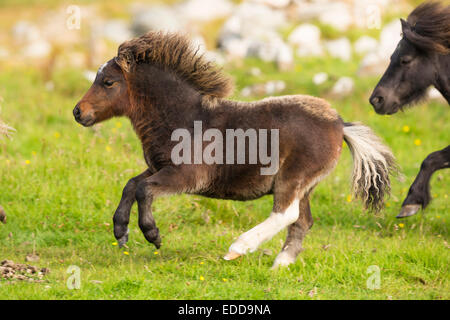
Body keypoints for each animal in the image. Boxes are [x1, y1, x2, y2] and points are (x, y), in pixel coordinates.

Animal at [72, 32, 396, 268]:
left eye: (108, 82)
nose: (78, 112)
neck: (184, 118)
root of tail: (340, 124)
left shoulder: (186, 176)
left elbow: (144, 189)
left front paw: (152, 234)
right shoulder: (158, 167)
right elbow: (131, 184)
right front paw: (120, 232)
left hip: (293, 177)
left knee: (286, 213)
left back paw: (238, 248)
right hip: (306, 185)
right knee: (302, 220)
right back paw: (279, 263)